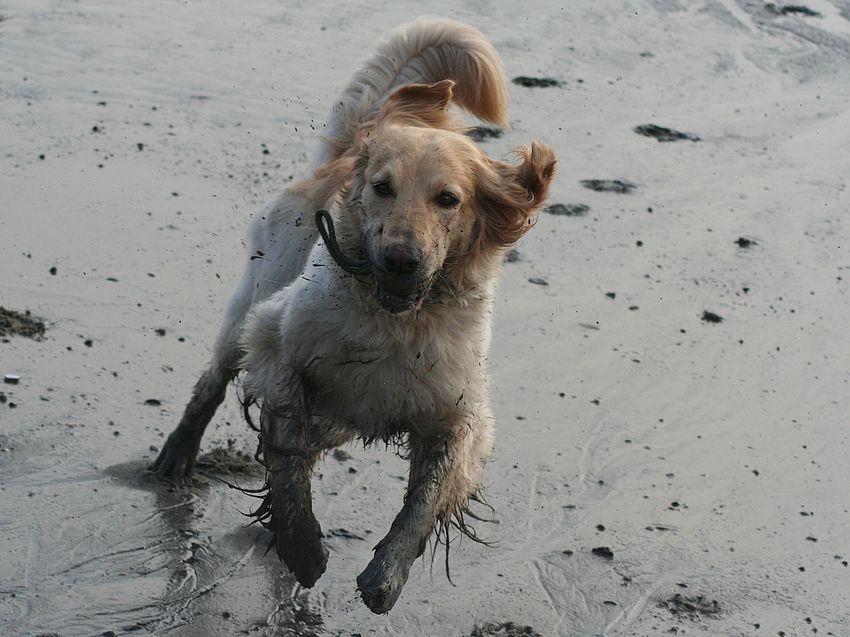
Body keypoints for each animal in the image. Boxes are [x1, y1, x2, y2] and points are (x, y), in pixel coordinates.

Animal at [154, 18, 556, 614]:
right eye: (383, 187)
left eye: (448, 199)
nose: (400, 259)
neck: (394, 322)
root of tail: (364, 132)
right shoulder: (278, 349)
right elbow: (288, 460)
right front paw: (302, 548)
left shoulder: (458, 412)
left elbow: (425, 498)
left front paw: (386, 575)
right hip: (252, 301)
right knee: (213, 381)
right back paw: (176, 456)